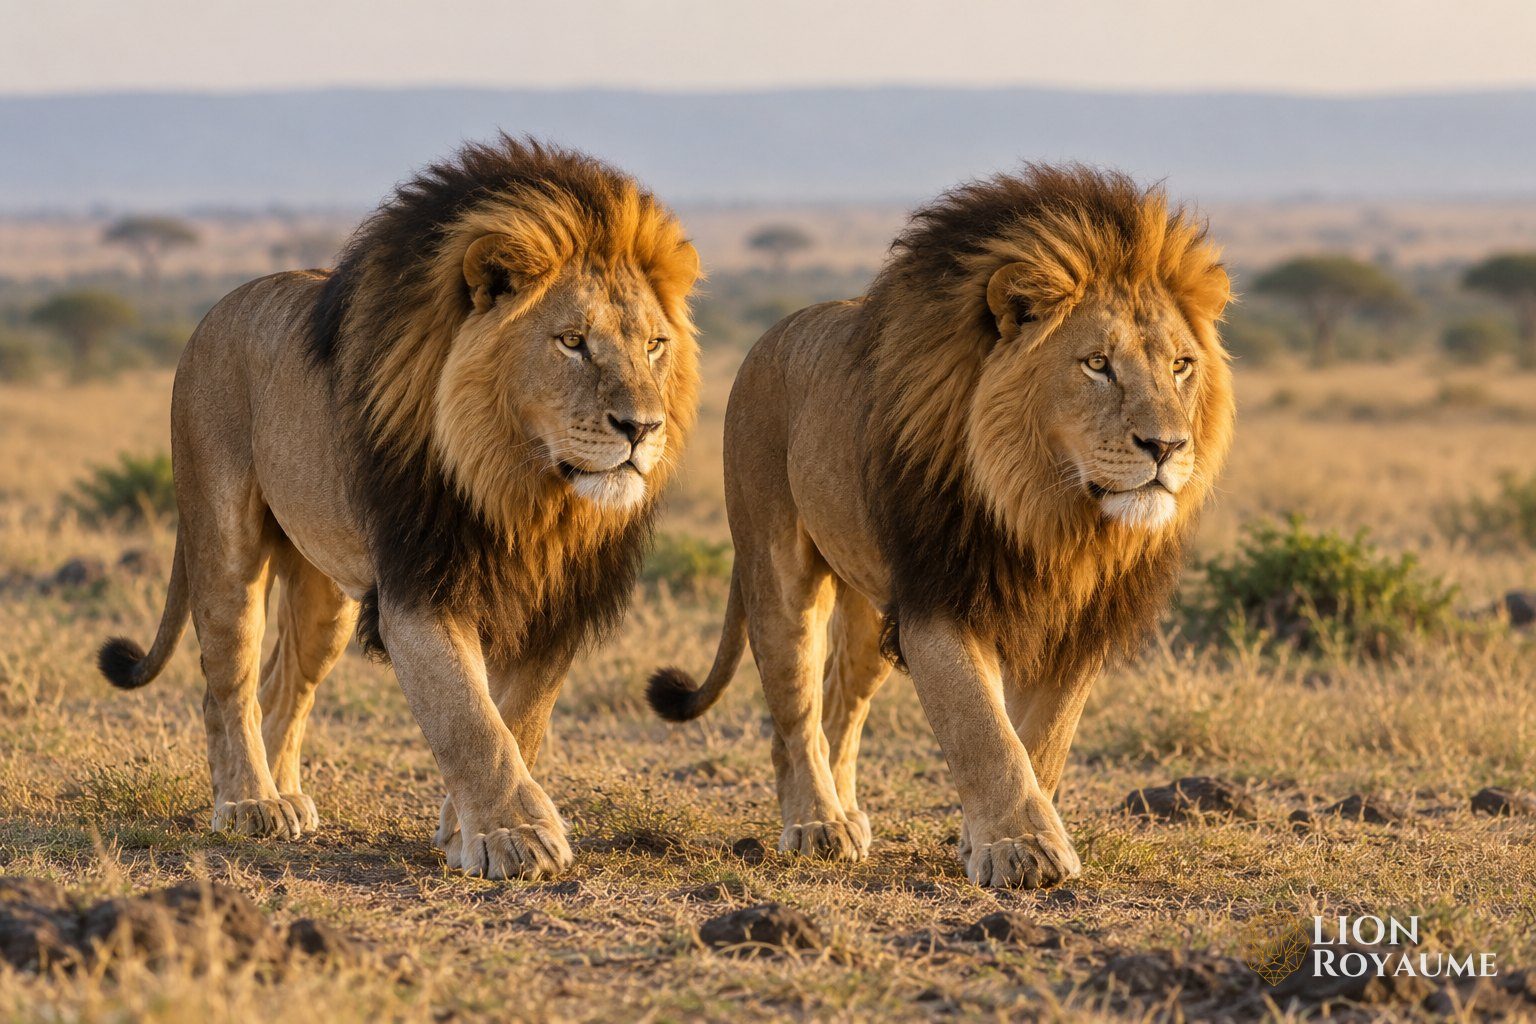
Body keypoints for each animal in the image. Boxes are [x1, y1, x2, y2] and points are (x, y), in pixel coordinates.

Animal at [97, 136, 702, 880]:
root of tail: (217, 308)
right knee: (228, 681)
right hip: (223, 537)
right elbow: (468, 717)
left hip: (325, 594)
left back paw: (287, 793)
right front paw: (515, 836)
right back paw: (250, 803)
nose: (642, 428)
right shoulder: (420, 585)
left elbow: (520, 718)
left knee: (283, 685)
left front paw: (464, 827)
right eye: (572, 342)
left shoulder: (558, 602)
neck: (526, 492)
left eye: (654, 345)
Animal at [647, 165, 1233, 888]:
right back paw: (816, 824)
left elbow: (1042, 739)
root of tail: (773, 333)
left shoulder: (1077, 622)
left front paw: (992, 835)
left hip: (870, 612)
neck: (1051, 512)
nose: (1168, 447)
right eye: (1097, 364)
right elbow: (980, 727)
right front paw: (1022, 847)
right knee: (795, 712)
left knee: (841, 704)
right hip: (778, 569)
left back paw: (847, 813)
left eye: (1181, 365)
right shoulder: (939, 597)